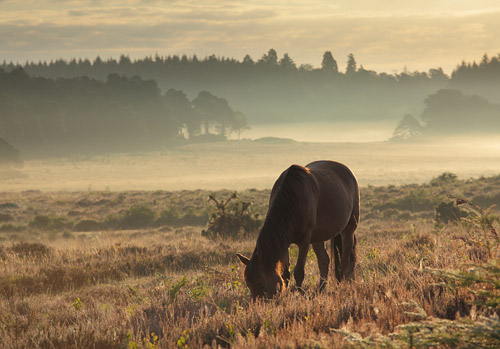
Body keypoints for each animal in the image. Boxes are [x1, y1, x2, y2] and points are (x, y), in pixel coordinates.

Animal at [238, 159, 360, 298]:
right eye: (248, 285)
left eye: (262, 285)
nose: (258, 302)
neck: (292, 200)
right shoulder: (284, 242)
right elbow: (285, 273)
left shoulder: (304, 241)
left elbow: (299, 272)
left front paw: (301, 295)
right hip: (318, 237)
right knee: (324, 261)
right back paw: (321, 289)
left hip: (348, 229)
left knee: (345, 261)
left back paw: (343, 286)